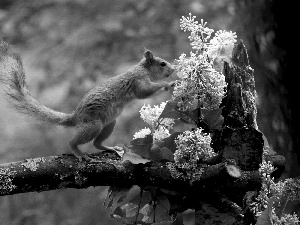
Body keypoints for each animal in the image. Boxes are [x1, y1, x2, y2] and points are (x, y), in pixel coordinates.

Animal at [0, 40, 176, 160]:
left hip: (109, 124)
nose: (174, 69)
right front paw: (168, 84)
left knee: (96, 143)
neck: (142, 69)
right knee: (73, 142)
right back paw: (79, 153)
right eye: (162, 63)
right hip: (94, 125)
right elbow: (144, 92)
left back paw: (110, 148)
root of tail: (75, 117)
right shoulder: (138, 81)